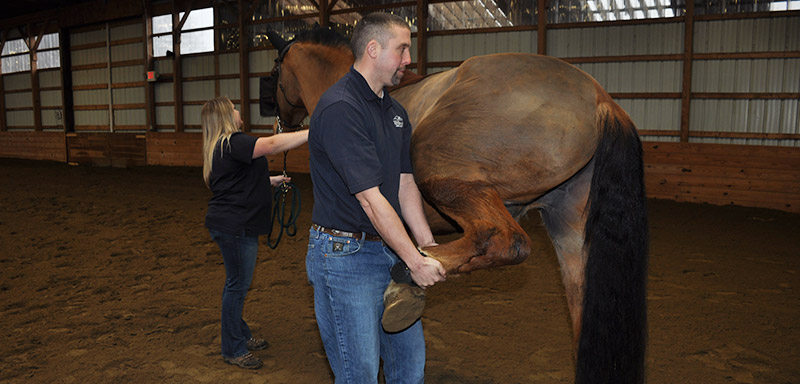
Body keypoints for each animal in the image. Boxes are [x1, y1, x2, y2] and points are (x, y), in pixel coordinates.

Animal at [262, 27, 648, 384]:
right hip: (569, 229)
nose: (281, 122)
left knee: (504, 240)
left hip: (441, 171)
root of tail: (600, 99)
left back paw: (418, 268)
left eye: (275, 72)